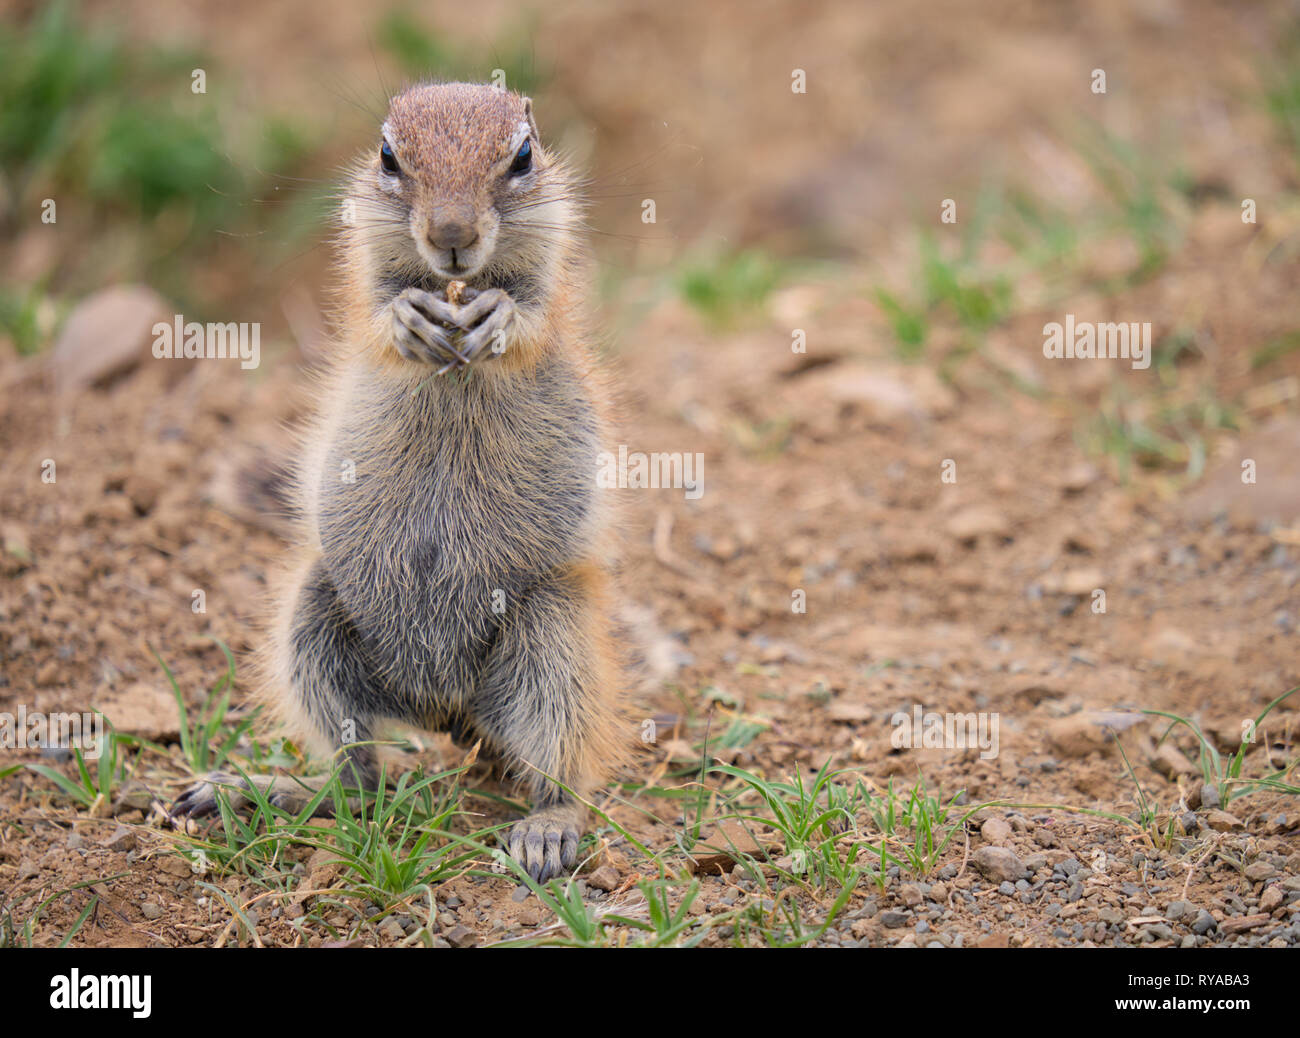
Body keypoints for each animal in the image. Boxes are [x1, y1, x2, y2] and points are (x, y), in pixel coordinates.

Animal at [172, 82, 627, 883]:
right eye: (388, 155)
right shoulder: (363, 272)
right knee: (358, 777)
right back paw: (260, 789)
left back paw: (546, 831)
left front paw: (499, 315)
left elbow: (535, 316)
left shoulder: (552, 275)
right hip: (311, 619)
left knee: (565, 769)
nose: (451, 233)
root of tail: (446, 711)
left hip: (556, 637)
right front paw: (408, 317)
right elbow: (374, 311)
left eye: (523, 156)